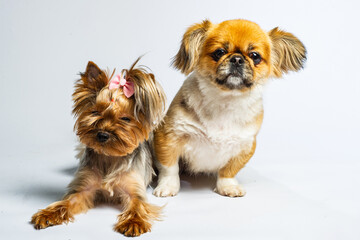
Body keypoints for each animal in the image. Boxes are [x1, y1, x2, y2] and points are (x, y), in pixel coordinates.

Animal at [31, 58, 166, 236]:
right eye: (95, 112)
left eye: (125, 119)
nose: (102, 134)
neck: (109, 156)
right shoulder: (84, 188)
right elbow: (67, 201)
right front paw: (48, 214)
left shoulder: (135, 190)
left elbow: (137, 205)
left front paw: (133, 222)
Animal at [152, 19, 306, 198]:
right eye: (219, 52)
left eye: (255, 56)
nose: (237, 59)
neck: (226, 101)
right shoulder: (168, 137)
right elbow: (170, 168)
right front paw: (168, 186)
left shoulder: (245, 146)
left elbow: (229, 170)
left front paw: (227, 187)